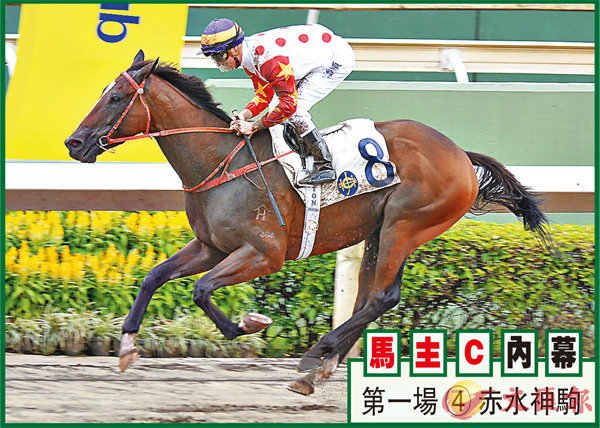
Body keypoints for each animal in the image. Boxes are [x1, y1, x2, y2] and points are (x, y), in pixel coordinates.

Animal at [65, 50, 556, 395]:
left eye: (115, 98)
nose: (74, 143)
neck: (222, 164)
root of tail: (460, 155)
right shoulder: (211, 246)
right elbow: (154, 276)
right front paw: (127, 347)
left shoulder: (264, 254)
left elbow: (201, 290)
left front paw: (248, 325)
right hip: (378, 231)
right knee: (367, 298)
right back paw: (322, 366)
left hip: (406, 224)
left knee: (383, 297)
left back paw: (315, 357)